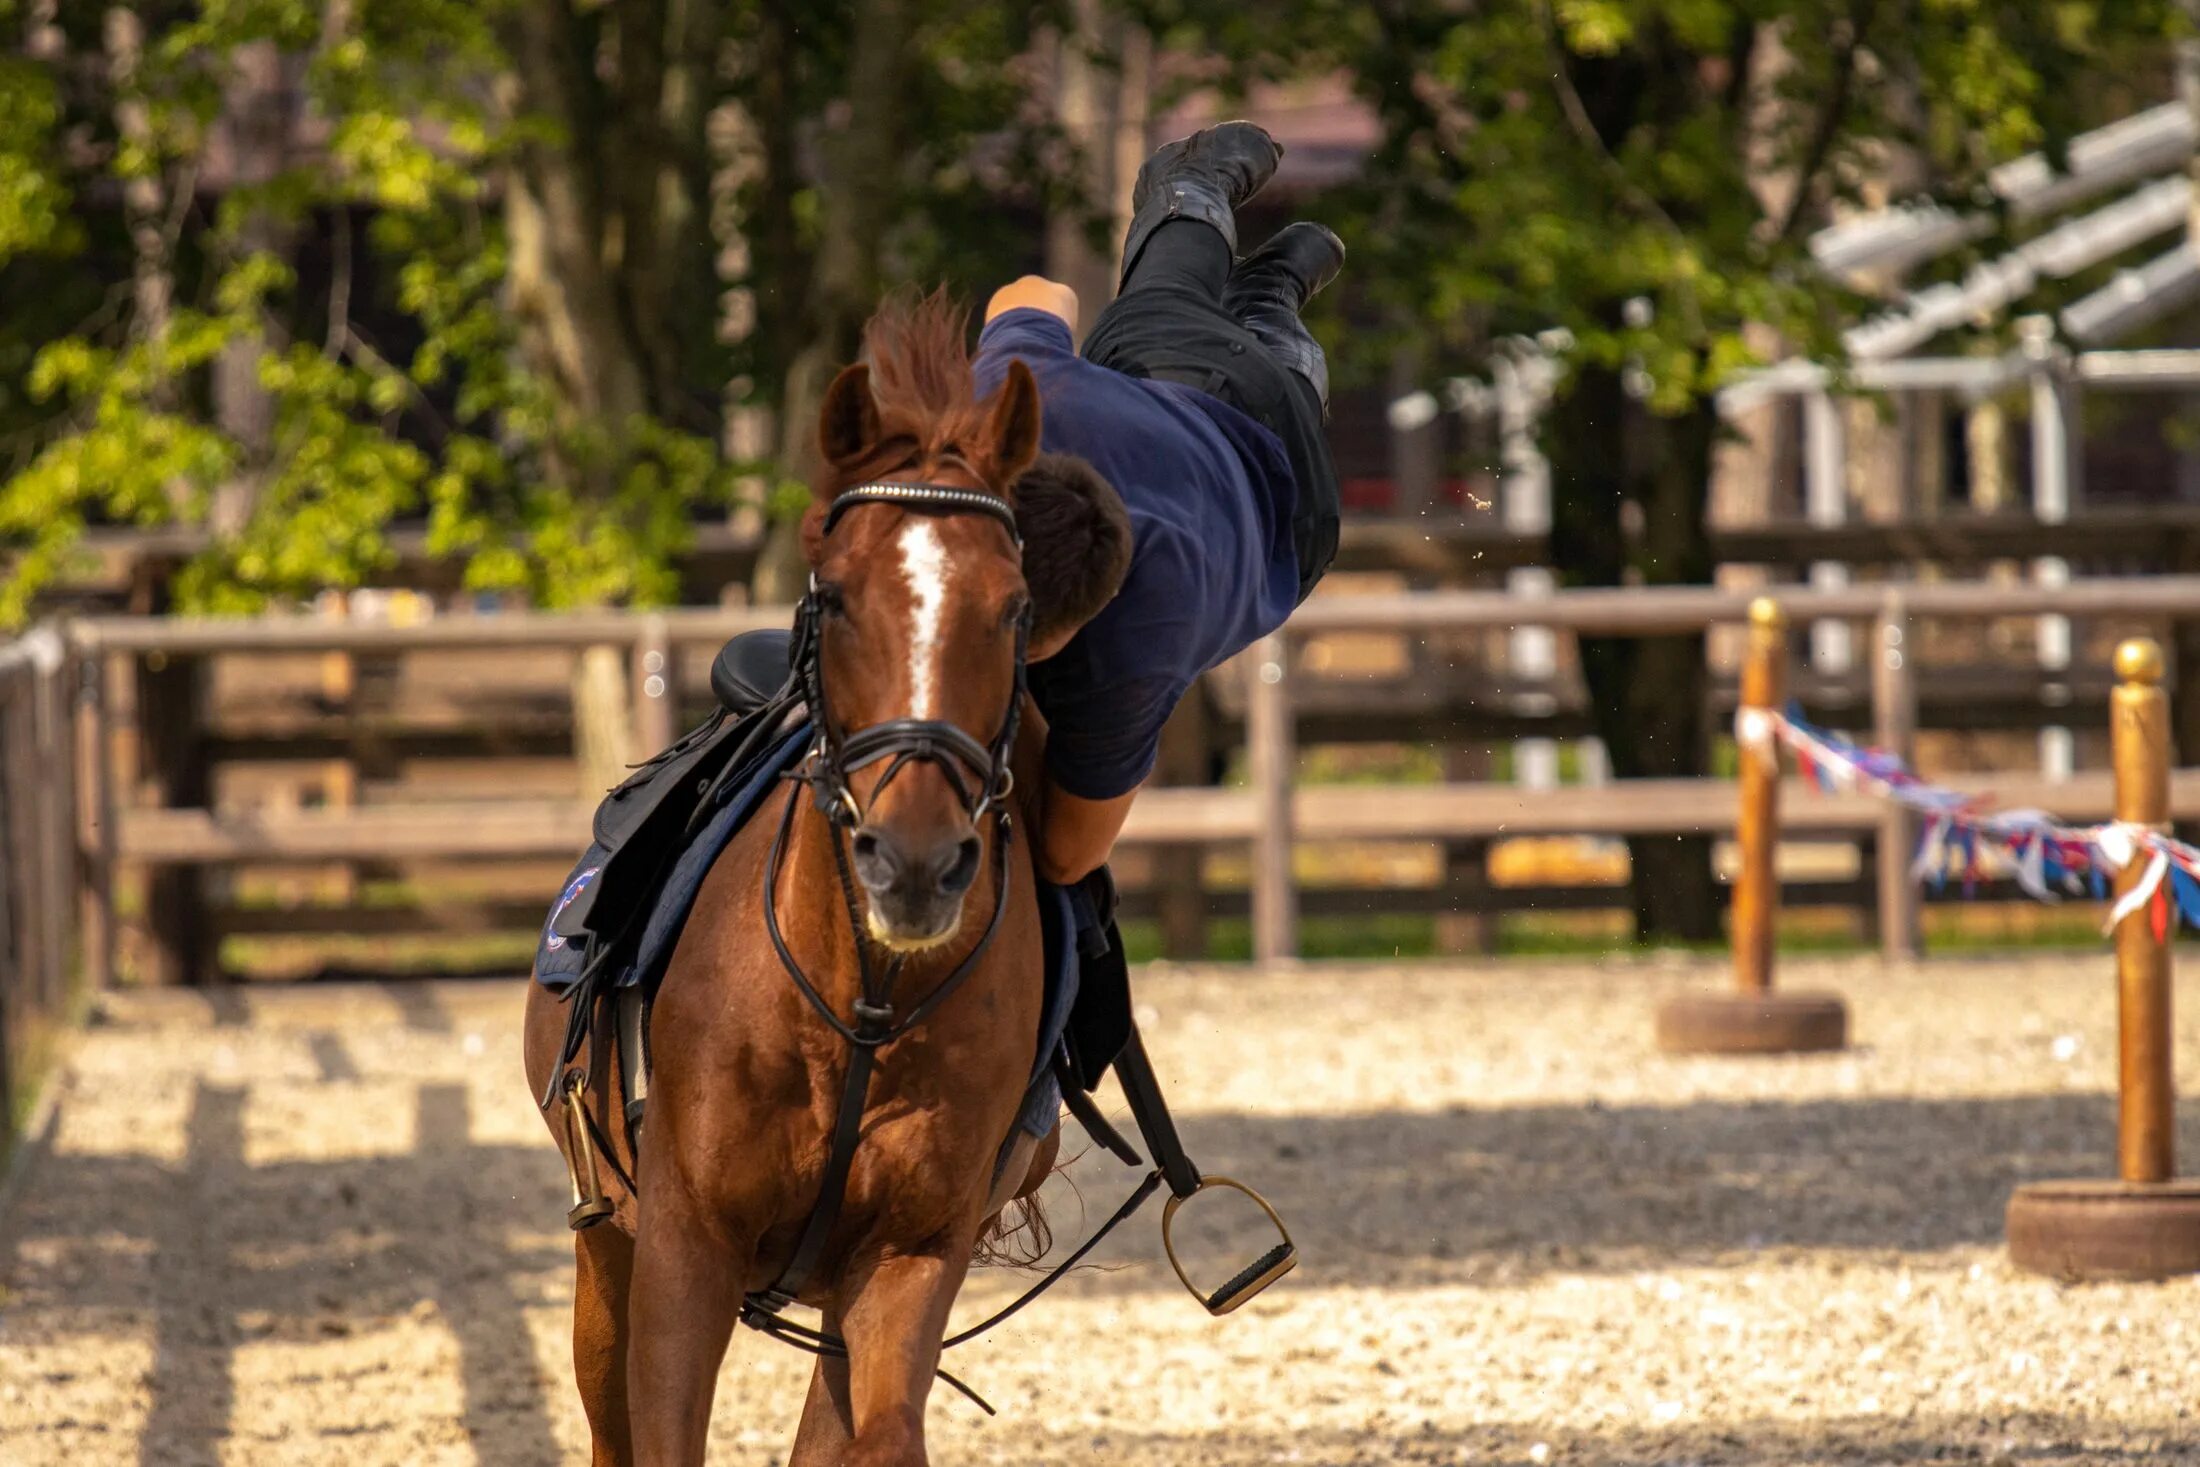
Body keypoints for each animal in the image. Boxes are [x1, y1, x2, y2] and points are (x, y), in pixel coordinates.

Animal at [523, 292, 1056, 1460]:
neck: (859, 1005)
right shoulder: (683, 1256)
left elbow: (877, 1435)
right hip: (606, 1253)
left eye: (1012, 606)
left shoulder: (907, 1260)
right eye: (840, 596)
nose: (914, 860)